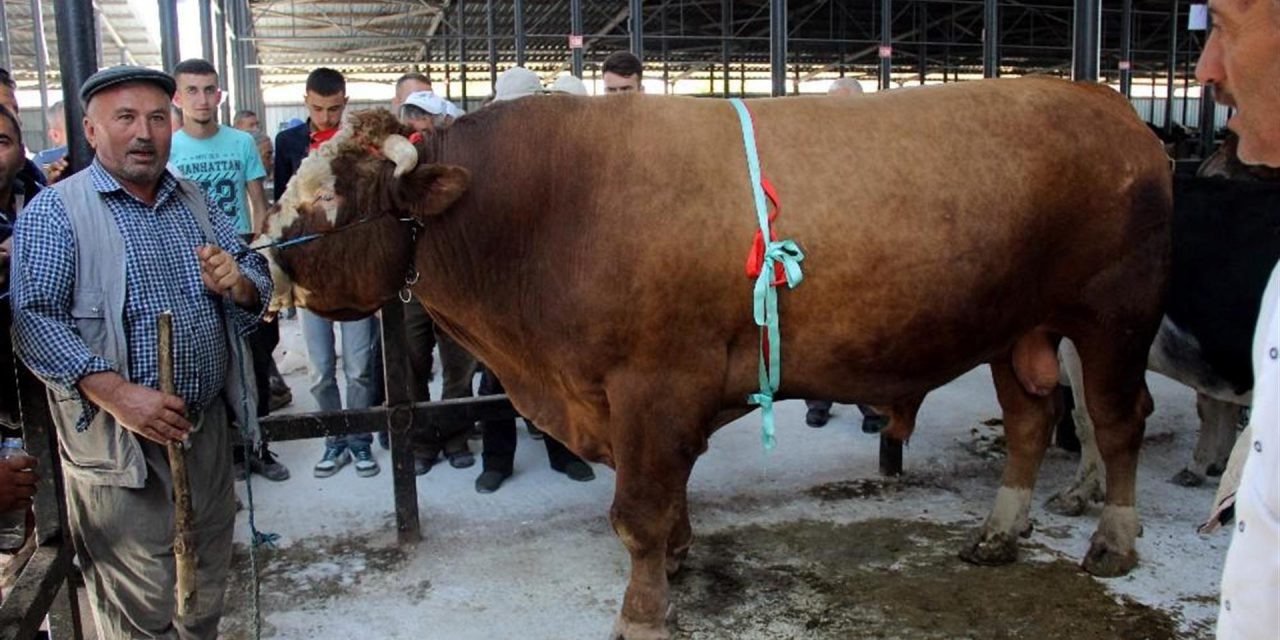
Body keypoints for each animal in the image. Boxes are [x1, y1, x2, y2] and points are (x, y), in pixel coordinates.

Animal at [267, 77, 1172, 637]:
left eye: (335, 194)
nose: (266, 257)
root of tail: (1110, 105)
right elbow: (667, 499)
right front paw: (677, 555)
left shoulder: (654, 385)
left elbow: (637, 509)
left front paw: (642, 610)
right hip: (1017, 330)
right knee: (1030, 417)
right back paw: (1000, 530)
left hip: (1114, 317)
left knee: (1118, 421)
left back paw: (1114, 540)